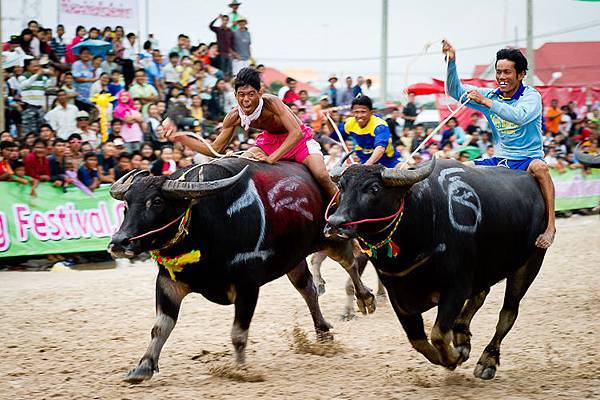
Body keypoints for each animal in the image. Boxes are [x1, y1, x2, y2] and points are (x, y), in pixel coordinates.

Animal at [105, 158, 372, 382]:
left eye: (157, 202)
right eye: (127, 203)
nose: (118, 242)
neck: (206, 226)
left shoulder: (247, 286)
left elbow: (238, 332)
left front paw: (241, 370)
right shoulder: (168, 282)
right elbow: (160, 327)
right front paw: (143, 366)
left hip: (332, 236)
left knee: (350, 263)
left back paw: (364, 298)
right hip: (293, 258)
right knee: (308, 289)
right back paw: (323, 332)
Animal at [326, 158, 548, 380]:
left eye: (374, 188)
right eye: (341, 187)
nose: (335, 223)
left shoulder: (456, 289)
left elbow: (439, 334)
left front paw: (456, 356)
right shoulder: (397, 295)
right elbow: (418, 340)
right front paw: (454, 353)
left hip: (529, 263)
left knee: (508, 313)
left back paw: (487, 361)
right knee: (481, 294)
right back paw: (461, 334)